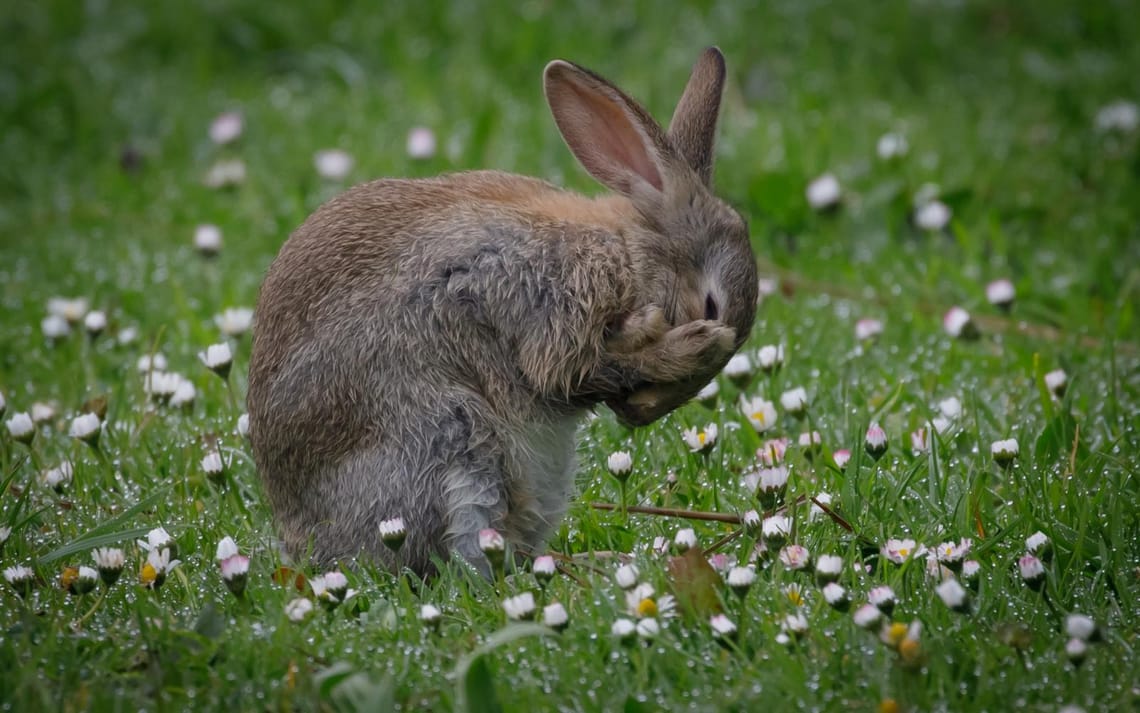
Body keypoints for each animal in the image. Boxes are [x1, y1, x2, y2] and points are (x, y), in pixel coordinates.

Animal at [251, 48, 766, 572]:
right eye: (710, 305)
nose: (638, 415)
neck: (625, 250)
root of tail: (306, 547)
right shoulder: (543, 303)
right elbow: (569, 370)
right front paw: (684, 342)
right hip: (450, 444)